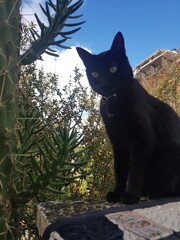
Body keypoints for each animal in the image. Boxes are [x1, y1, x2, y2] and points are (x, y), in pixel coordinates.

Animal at [76, 31, 180, 204]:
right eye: (95, 73)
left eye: (113, 68)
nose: (104, 83)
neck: (115, 100)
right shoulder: (118, 143)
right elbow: (119, 170)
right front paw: (117, 193)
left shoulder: (142, 139)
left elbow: (135, 171)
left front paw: (130, 195)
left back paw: (154, 192)